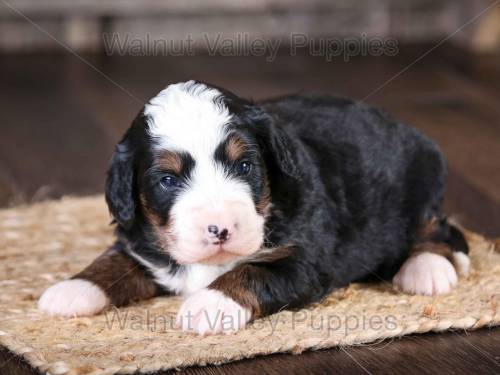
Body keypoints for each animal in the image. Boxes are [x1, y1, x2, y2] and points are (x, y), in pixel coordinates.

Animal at [38, 80, 468, 334]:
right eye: (168, 180)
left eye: (244, 166)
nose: (220, 229)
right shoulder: (140, 242)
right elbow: (115, 260)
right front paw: (73, 288)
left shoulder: (304, 260)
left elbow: (252, 272)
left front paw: (209, 303)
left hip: (422, 178)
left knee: (439, 227)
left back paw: (428, 268)